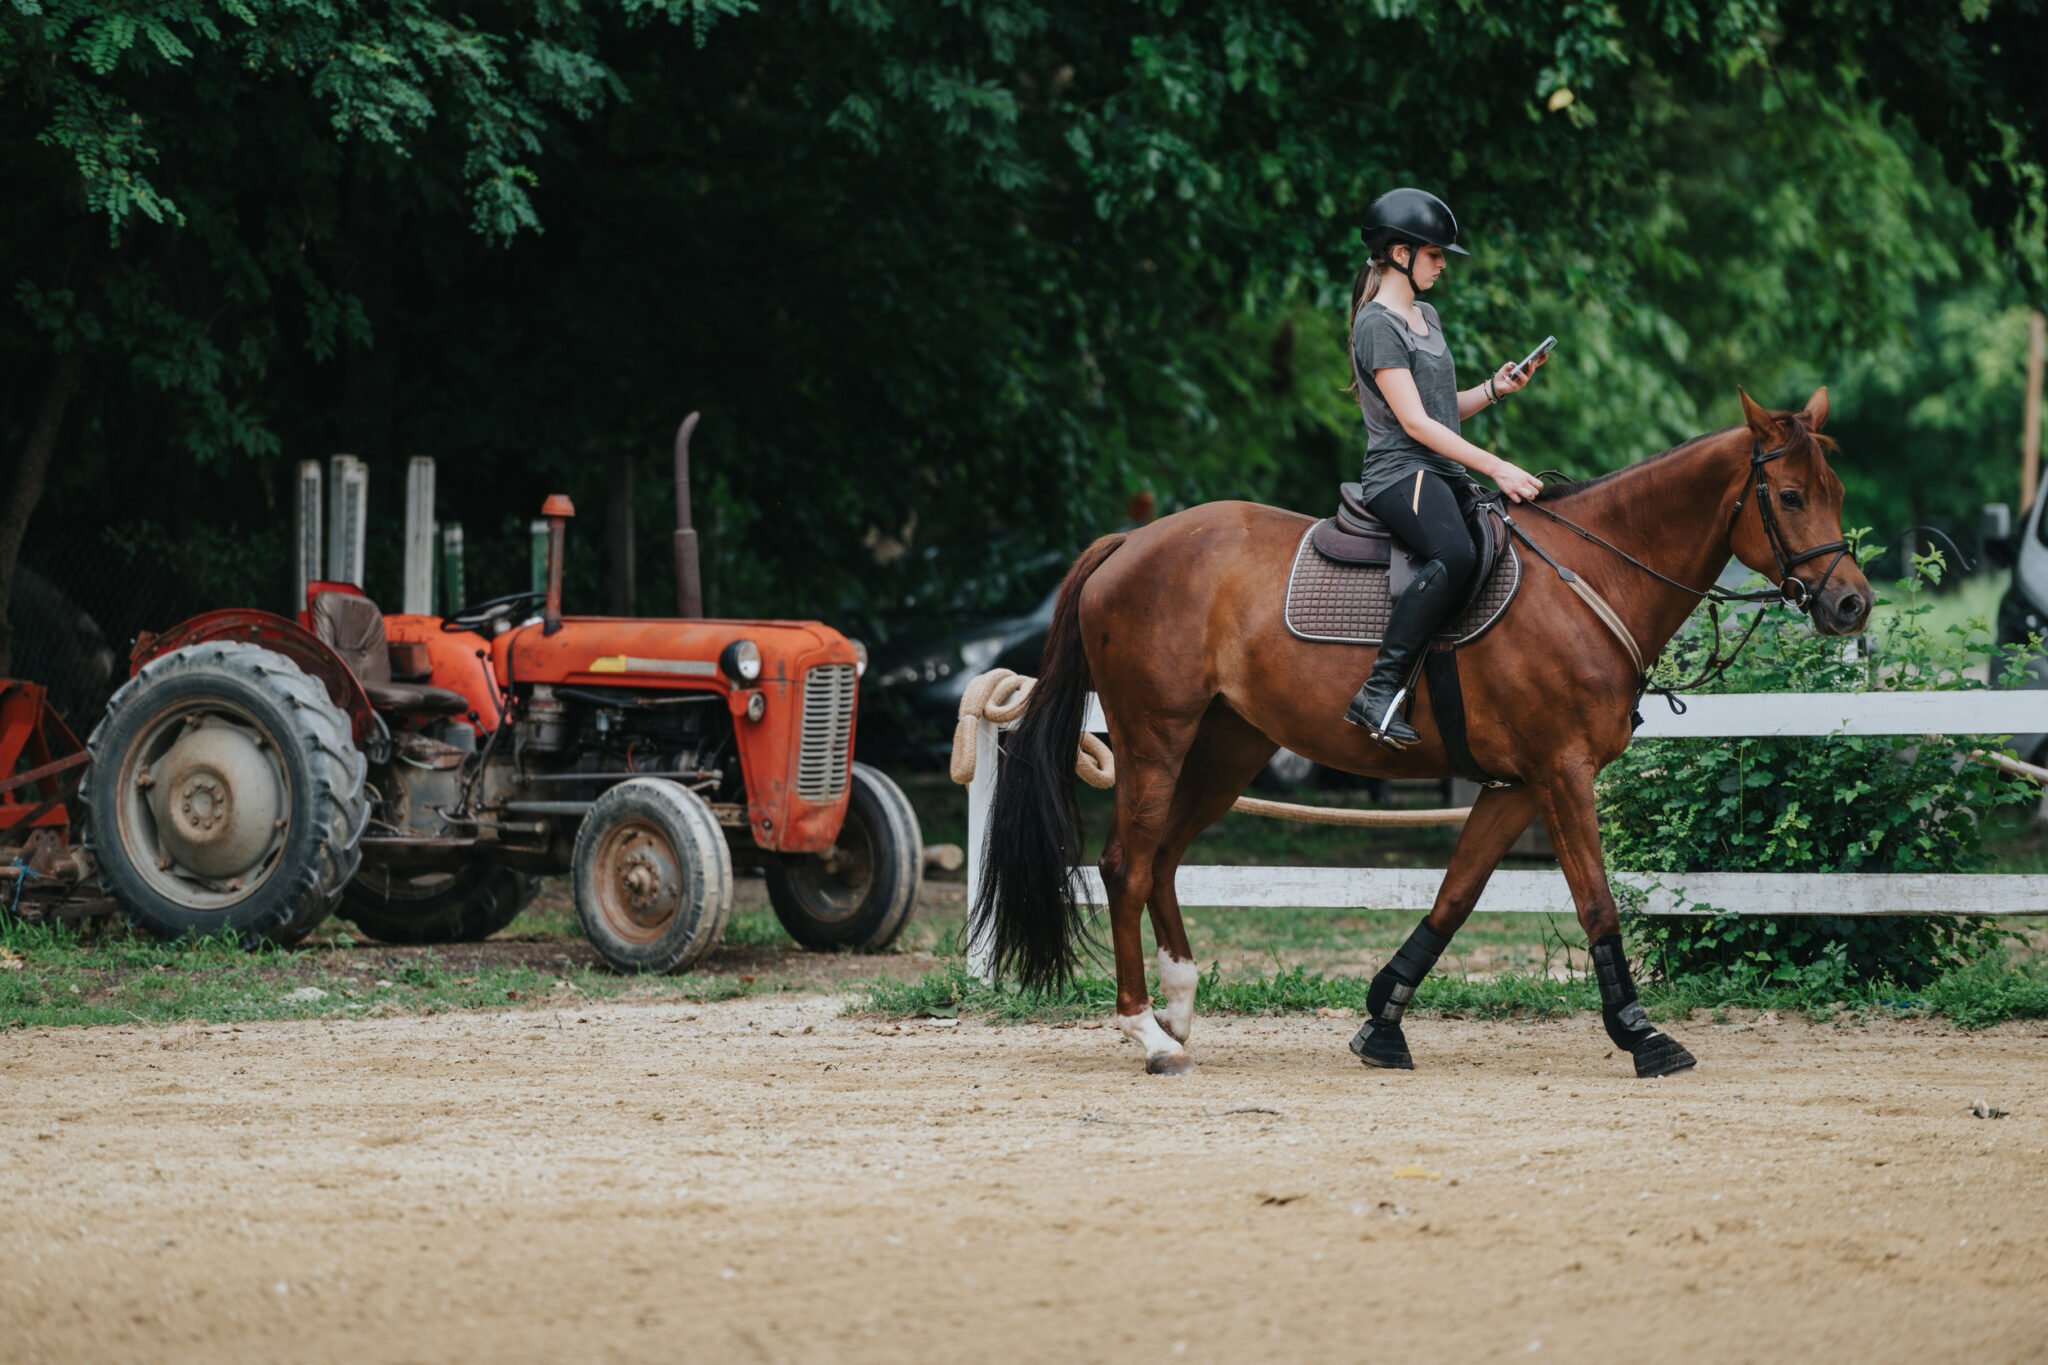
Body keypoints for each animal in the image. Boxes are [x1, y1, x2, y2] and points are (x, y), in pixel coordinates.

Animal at [976, 387, 1870, 1076]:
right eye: (1792, 497)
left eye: (1837, 492)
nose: (1852, 603)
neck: (1592, 575)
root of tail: (1132, 539)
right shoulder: (1562, 770)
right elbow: (1595, 902)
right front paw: (1641, 1036)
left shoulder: (1517, 784)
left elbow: (1454, 897)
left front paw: (1383, 1021)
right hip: (1154, 738)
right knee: (1125, 864)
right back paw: (1148, 1033)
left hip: (1228, 747)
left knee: (1162, 858)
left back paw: (1180, 1007)